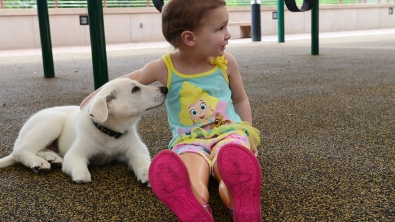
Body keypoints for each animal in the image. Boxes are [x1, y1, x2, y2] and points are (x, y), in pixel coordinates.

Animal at [0, 79, 168, 183]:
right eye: (135, 89)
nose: (165, 88)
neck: (109, 134)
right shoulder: (75, 153)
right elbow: (80, 169)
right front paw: (81, 176)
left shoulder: (137, 148)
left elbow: (142, 160)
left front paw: (146, 173)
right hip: (53, 121)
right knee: (20, 151)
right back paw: (39, 163)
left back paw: (52, 158)